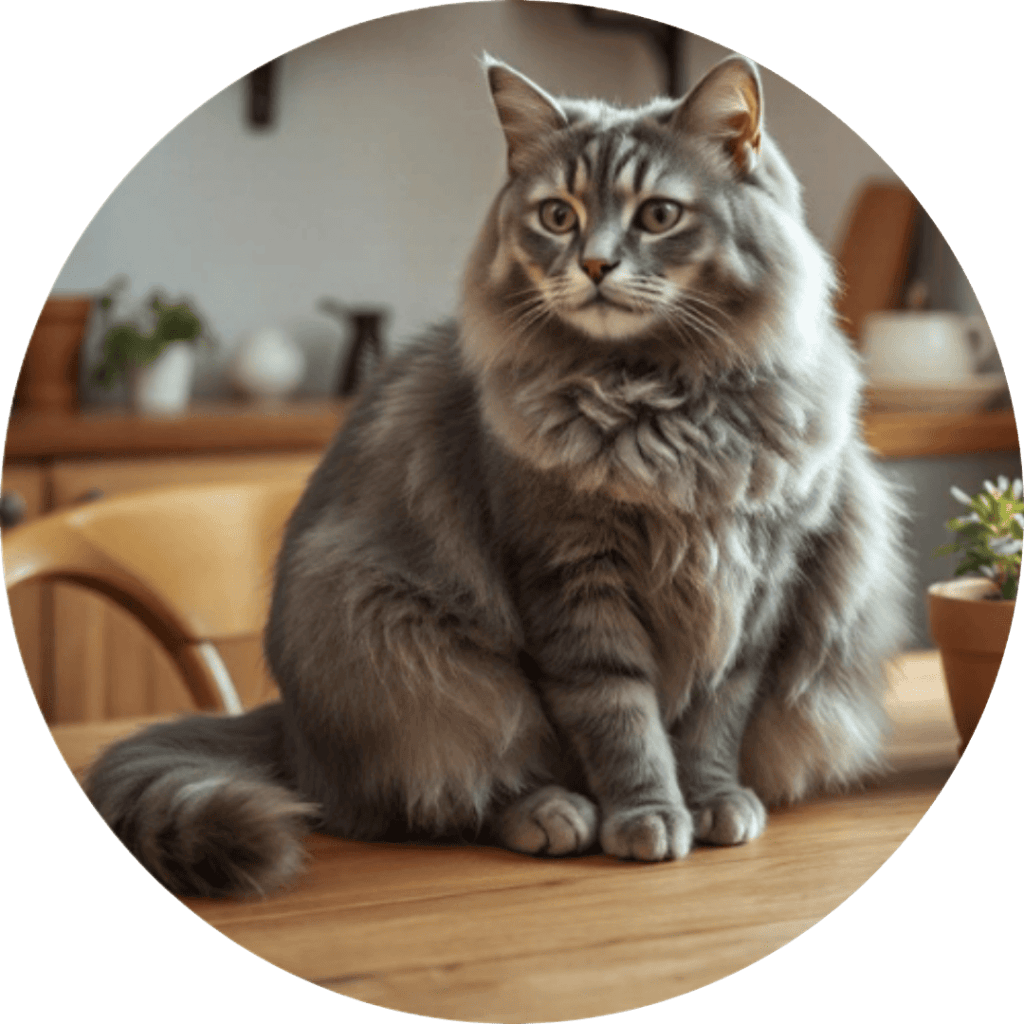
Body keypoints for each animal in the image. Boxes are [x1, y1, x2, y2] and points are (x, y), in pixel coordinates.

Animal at [83, 56, 909, 897]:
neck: (662, 401)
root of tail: (290, 727)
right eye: (557, 216)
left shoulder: (761, 589)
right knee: (443, 793)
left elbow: (715, 721)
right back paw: (554, 814)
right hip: (417, 662)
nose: (595, 264)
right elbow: (621, 719)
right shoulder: (572, 578)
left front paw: (712, 801)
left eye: (657, 216)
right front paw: (646, 815)